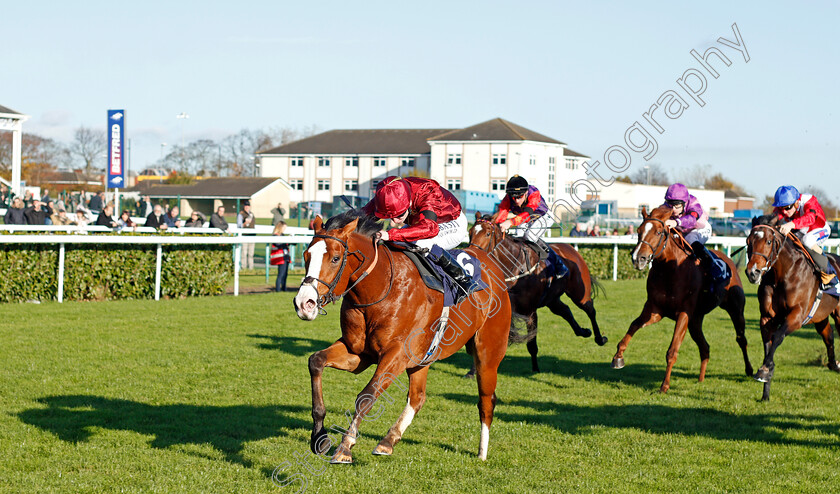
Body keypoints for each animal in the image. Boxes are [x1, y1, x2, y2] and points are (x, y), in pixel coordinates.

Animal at [292, 209, 516, 464]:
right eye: (306, 255)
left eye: (335, 258)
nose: (304, 304)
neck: (381, 287)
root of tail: (490, 262)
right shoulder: (357, 352)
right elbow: (316, 361)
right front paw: (319, 437)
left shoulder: (396, 354)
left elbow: (366, 396)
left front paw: (345, 447)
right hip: (424, 356)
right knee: (418, 398)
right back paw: (388, 441)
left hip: (488, 354)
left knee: (486, 400)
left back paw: (481, 453)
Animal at [470, 214, 608, 372]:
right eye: (470, 232)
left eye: (487, 233)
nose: (472, 255)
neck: (516, 267)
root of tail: (571, 249)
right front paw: (473, 370)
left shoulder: (530, 311)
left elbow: (531, 344)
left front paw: (535, 369)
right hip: (552, 299)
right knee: (565, 310)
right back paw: (584, 331)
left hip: (579, 293)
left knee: (590, 310)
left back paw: (600, 338)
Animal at [612, 204, 756, 390]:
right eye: (638, 230)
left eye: (659, 232)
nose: (638, 258)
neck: (670, 269)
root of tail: (729, 260)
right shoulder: (655, 309)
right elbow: (633, 325)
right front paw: (618, 357)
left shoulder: (683, 313)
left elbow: (672, 350)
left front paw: (664, 386)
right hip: (696, 321)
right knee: (705, 347)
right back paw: (701, 379)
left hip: (735, 309)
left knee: (741, 339)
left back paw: (749, 370)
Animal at [744, 216, 836, 402]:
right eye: (748, 241)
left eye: (769, 241)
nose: (753, 273)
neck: (784, 274)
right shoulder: (766, 318)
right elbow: (768, 345)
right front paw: (765, 389)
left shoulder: (796, 316)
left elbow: (778, 337)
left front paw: (765, 370)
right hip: (821, 317)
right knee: (829, 336)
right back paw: (833, 364)